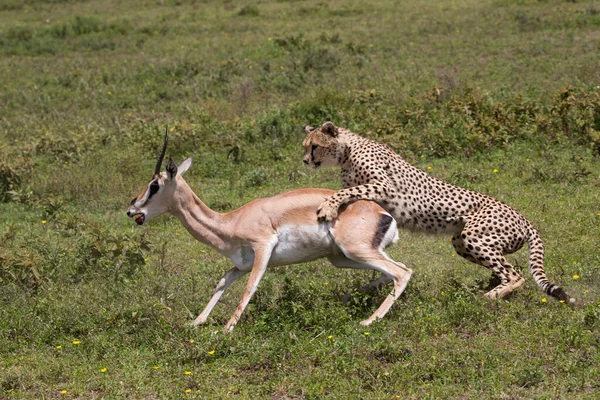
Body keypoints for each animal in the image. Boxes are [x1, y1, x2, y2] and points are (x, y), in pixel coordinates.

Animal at [302, 119, 576, 304]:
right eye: (305, 147)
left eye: (314, 146)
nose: (305, 161)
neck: (348, 150)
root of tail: (523, 217)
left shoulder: (384, 186)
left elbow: (346, 192)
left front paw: (327, 207)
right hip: (461, 241)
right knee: (504, 269)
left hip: (474, 236)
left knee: (515, 275)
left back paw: (488, 297)